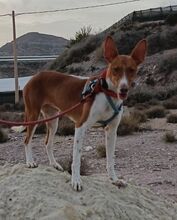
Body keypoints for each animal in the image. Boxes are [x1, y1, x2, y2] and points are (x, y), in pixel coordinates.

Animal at [22, 36, 147, 191]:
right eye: (115, 69)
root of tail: (34, 76)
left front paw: (114, 179)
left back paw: (54, 164)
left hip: (53, 120)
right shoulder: (80, 126)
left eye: (132, 70)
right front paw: (76, 181)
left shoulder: (111, 130)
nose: (123, 89)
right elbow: (76, 159)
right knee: (27, 140)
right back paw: (30, 162)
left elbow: (110, 159)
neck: (107, 93)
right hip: (33, 115)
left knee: (47, 143)